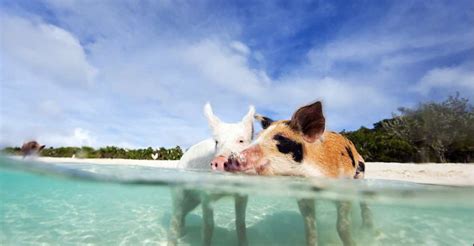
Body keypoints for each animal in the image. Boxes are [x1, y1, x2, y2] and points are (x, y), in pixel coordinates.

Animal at [224, 100, 372, 246]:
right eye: (258, 137)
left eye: (280, 138)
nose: (229, 159)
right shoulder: (303, 196)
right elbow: (310, 229)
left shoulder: (344, 189)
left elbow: (342, 226)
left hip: (360, 175)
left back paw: (366, 229)